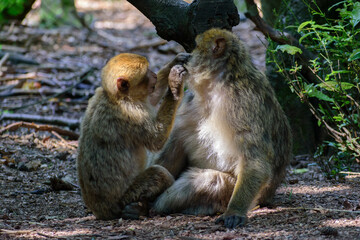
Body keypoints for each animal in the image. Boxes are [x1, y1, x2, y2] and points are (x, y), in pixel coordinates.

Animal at [76, 52, 188, 219]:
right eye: (146, 74)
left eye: (149, 70)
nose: (154, 75)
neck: (116, 97)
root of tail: (101, 211)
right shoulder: (132, 114)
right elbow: (157, 139)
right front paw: (175, 85)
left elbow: (152, 97)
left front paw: (174, 62)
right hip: (126, 197)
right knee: (159, 174)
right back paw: (142, 208)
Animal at [152, 29, 292, 228]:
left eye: (195, 46)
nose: (186, 56)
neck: (219, 83)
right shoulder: (189, 102)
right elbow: (176, 145)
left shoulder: (242, 103)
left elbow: (255, 160)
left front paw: (235, 211)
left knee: (209, 180)